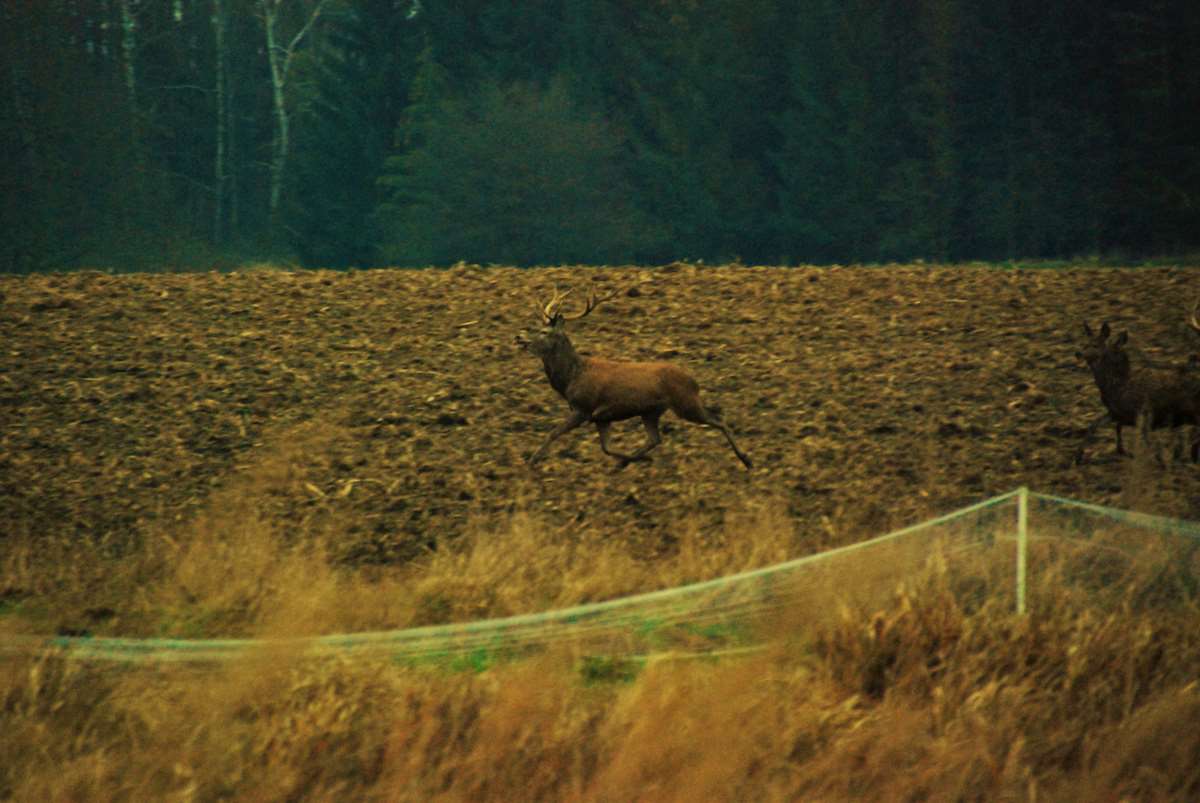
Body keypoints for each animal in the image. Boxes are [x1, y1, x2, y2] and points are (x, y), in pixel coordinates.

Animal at [516, 286, 753, 469]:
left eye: (544, 332)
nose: (519, 337)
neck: (570, 379)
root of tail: (693, 381)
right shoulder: (601, 417)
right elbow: (607, 448)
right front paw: (630, 460)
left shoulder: (584, 408)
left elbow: (553, 433)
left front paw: (532, 462)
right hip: (651, 411)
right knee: (655, 438)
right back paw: (630, 462)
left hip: (685, 403)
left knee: (718, 419)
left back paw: (746, 459)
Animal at [1075, 307, 1200, 462]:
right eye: (1084, 343)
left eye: (1095, 345)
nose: (1078, 353)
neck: (1117, 387)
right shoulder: (1116, 413)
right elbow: (1096, 425)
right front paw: (1079, 456)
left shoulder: (1143, 413)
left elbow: (1148, 442)